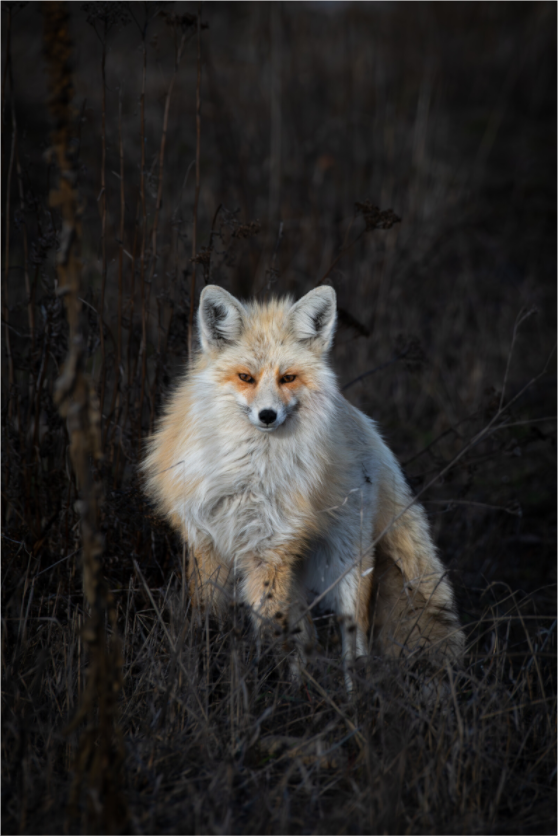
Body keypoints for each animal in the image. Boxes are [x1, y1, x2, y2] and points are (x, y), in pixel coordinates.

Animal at [142, 284, 464, 678]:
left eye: (288, 378)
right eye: (246, 377)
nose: (267, 415)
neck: (247, 473)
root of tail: (363, 424)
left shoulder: (271, 547)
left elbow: (269, 631)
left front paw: (266, 685)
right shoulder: (204, 543)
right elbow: (209, 619)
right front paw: (205, 670)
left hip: (346, 566)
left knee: (353, 646)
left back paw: (352, 692)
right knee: (306, 637)